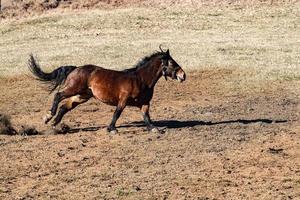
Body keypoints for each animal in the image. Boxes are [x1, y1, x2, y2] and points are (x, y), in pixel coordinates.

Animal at [29, 47, 186, 133]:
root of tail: (75, 68)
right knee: (58, 95)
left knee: (64, 107)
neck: (140, 80)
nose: (183, 75)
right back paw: (48, 116)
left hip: (82, 96)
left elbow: (146, 116)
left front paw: (153, 128)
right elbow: (117, 113)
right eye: (172, 62)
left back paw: (54, 124)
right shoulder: (123, 100)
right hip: (74, 89)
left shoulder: (145, 103)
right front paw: (112, 129)